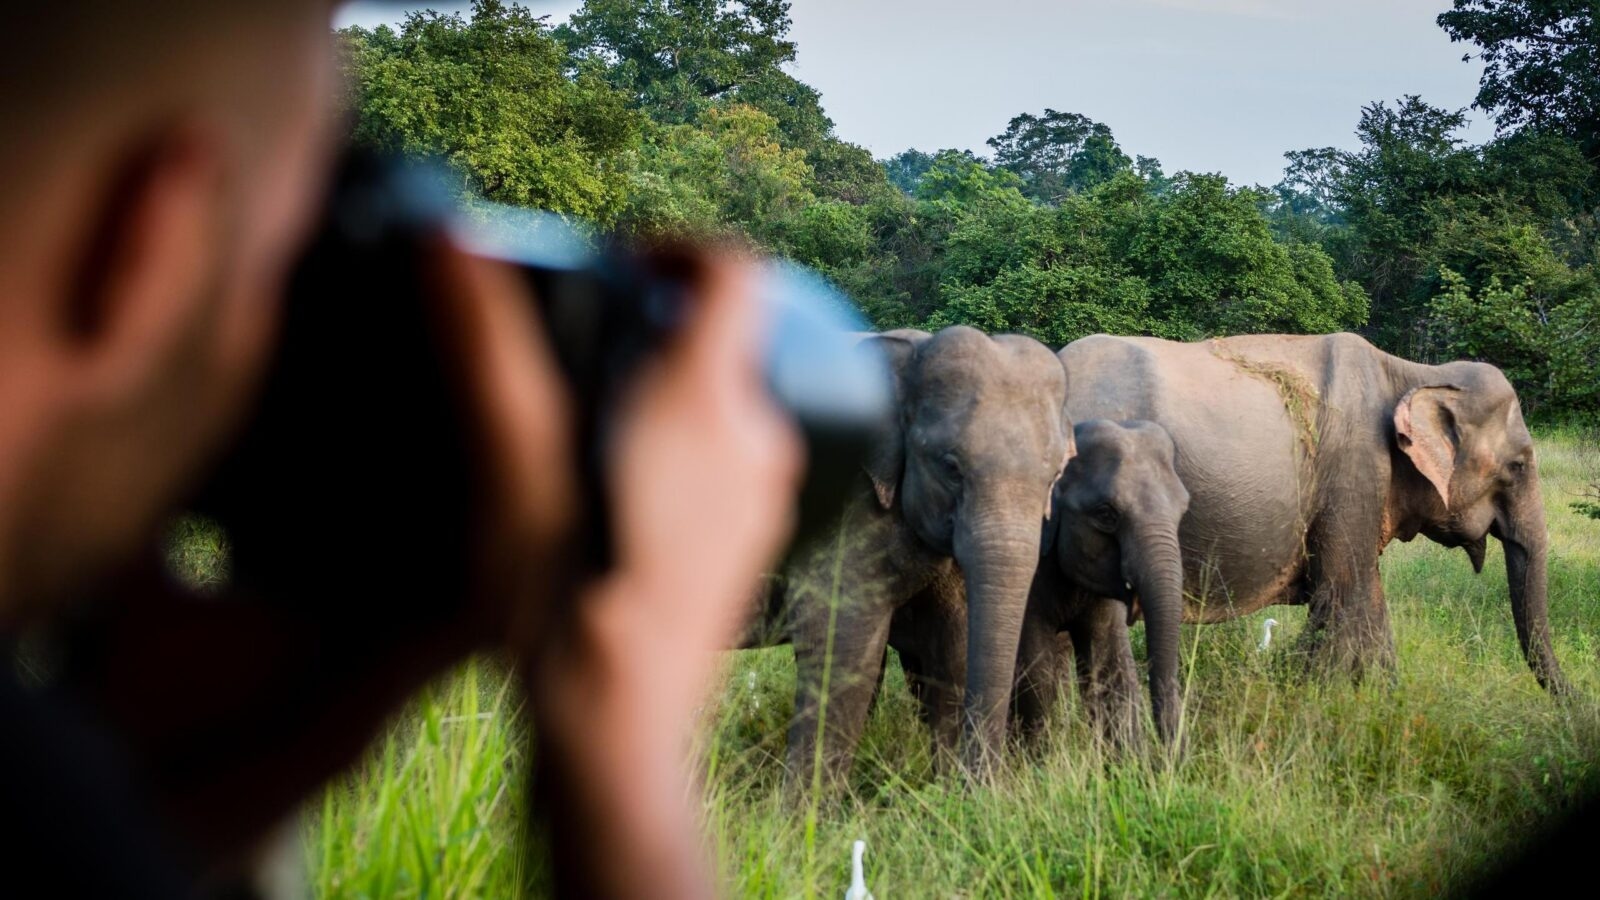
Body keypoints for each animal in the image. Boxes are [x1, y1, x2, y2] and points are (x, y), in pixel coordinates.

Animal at [749, 324, 1074, 783]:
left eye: (1056, 475)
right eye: (950, 467)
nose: (984, 785)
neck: (911, 351)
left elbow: (951, 649)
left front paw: (944, 788)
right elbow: (840, 645)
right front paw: (806, 805)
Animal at [1013, 419, 1191, 750]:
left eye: (1183, 511)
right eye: (1106, 514)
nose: (1172, 756)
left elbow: (1110, 667)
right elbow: (1035, 670)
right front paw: (1038, 759)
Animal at [1056, 332, 1568, 693]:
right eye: (1520, 465)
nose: (1571, 705)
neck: (1412, 372)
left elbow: (1367, 597)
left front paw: (1384, 696)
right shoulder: (1352, 475)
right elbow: (1343, 596)